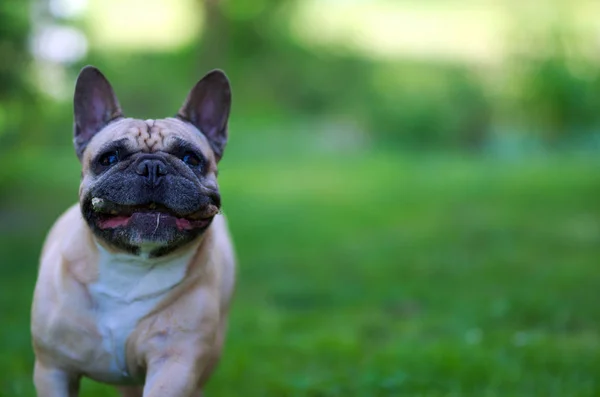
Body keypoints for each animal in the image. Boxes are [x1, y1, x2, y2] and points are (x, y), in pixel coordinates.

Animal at [31, 66, 234, 394]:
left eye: (190, 159)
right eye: (109, 158)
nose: (152, 168)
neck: (129, 265)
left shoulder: (175, 364)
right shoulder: (53, 368)